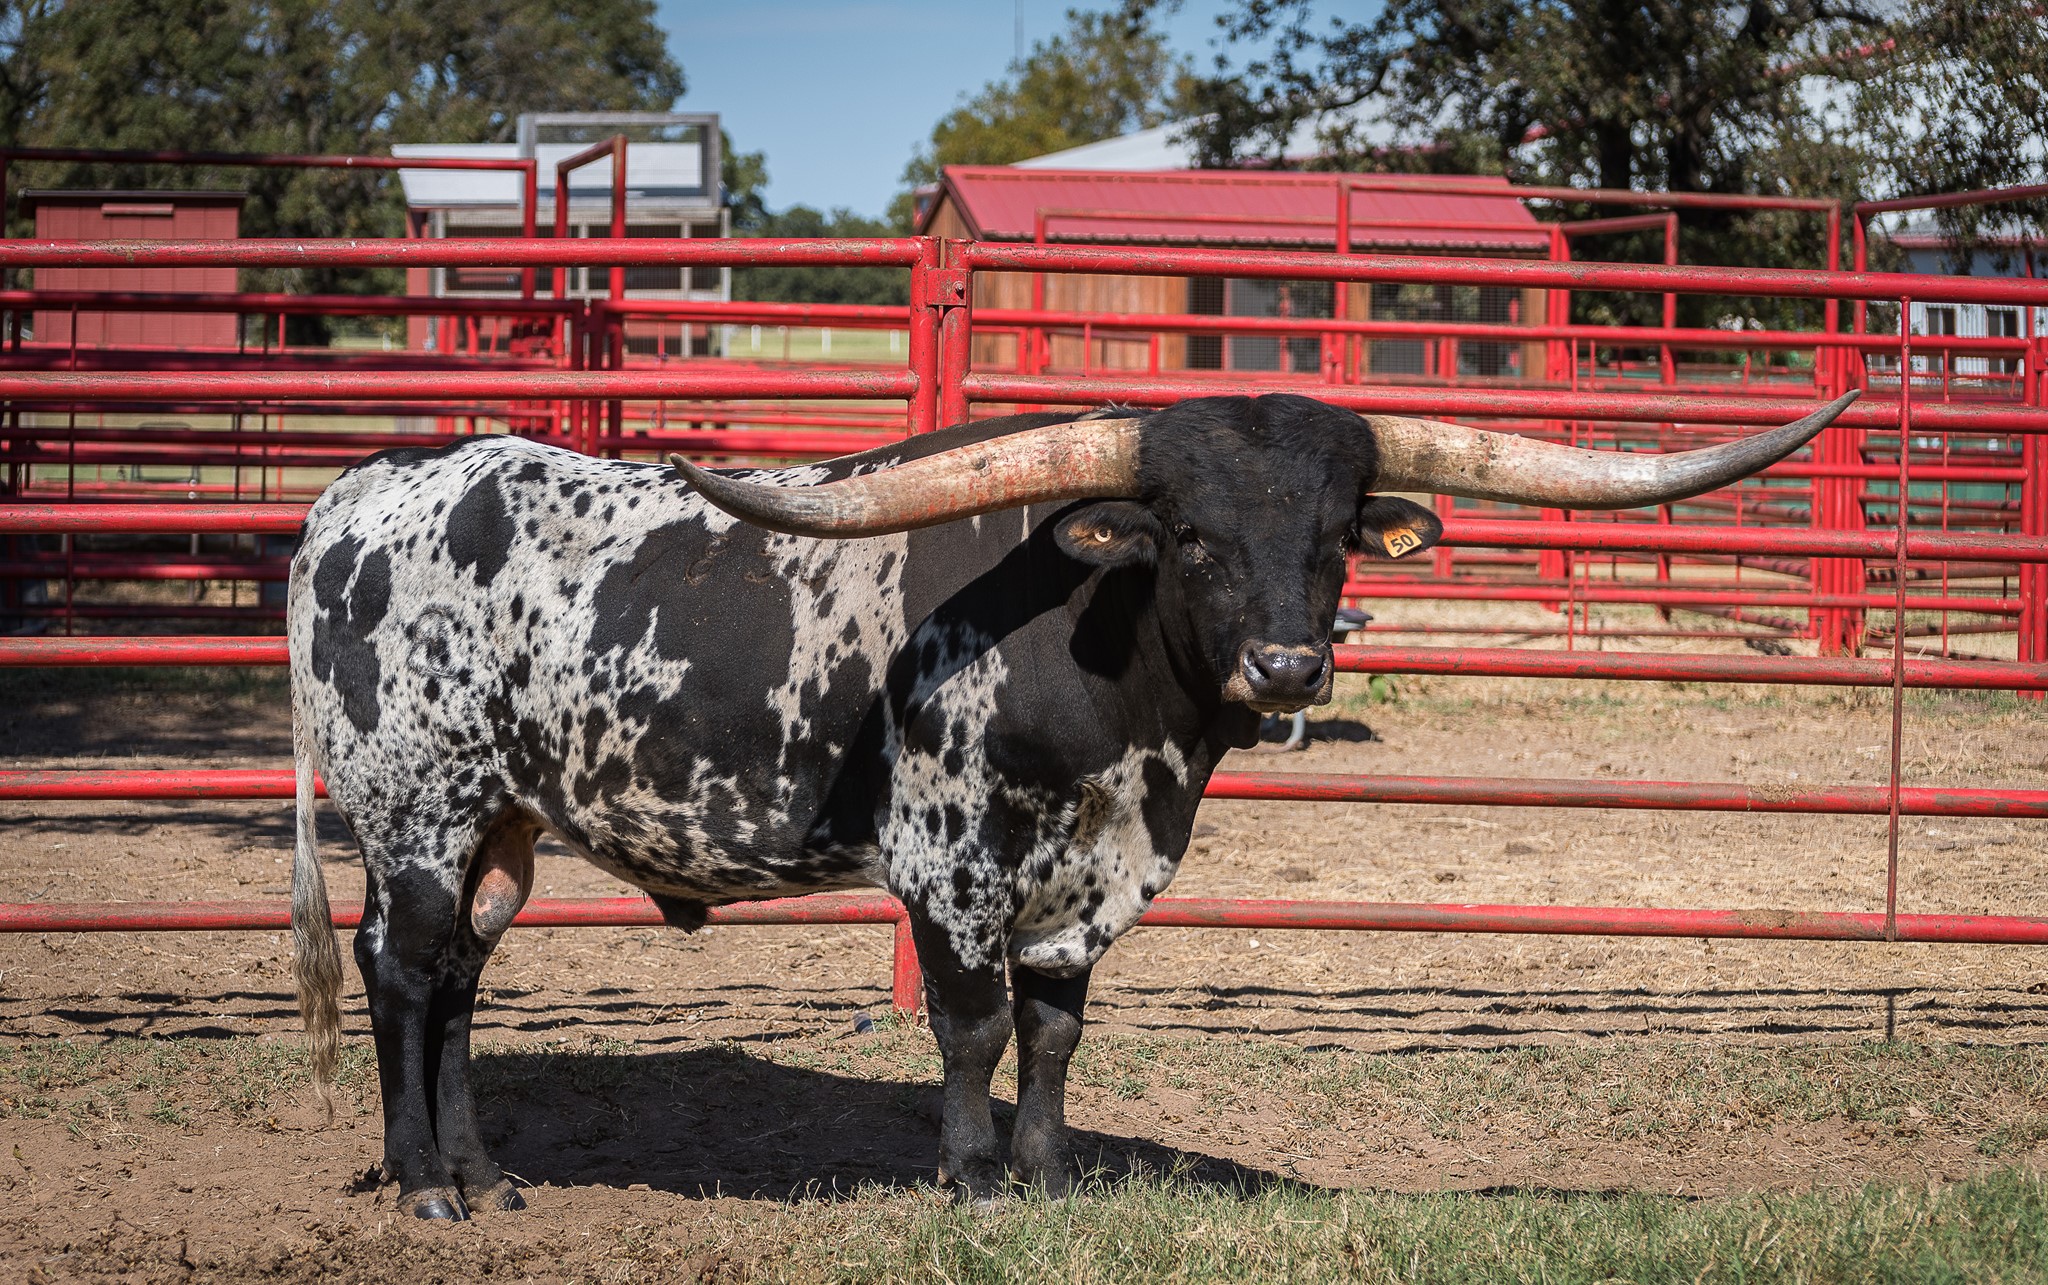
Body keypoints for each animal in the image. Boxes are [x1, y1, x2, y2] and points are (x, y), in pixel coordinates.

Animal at [288, 390, 1857, 1218]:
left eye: (1336, 541)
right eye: (1194, 537)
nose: (1289, 666)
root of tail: (363, 489)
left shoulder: (1090, 877)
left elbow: (1053, 1031)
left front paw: (1047, 1176)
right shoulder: (947, 866)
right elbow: (975, 1027)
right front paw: (975, 1181)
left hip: (501, 825)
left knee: (459, 981)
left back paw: (487, 1173)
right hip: (416, 808)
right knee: (403, 973)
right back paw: (423, 1182)